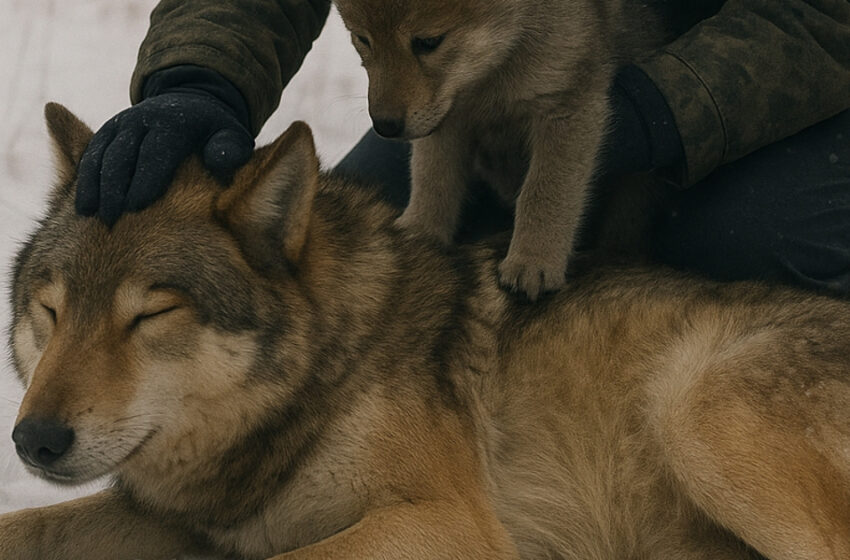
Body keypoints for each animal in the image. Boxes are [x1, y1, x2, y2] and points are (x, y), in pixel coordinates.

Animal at [2, 104, 850, 560]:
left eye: (150, 314)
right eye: (52, 311)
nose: (34, 440)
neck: (330, 372)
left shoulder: (450, 521)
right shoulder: (189, 525)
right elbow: (26, 528)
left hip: (697, 415)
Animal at [333, 0, 674, 299]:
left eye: (429, 42)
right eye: (363, 39)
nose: (385, 125)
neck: (493, 70)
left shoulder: (567, 103)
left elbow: (545, 191)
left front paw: (533, 261)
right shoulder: (446, 115)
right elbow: (432, 175)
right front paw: (420, 232)